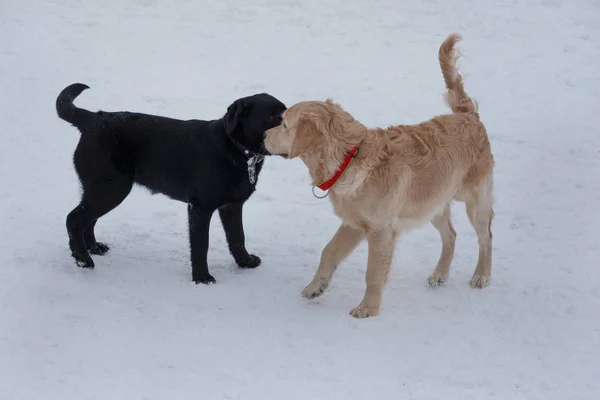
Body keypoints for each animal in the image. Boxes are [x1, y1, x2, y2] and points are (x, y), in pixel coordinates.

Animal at [56, 83, 286, 284]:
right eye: (272, 117)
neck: (237, 150)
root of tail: (93, 118)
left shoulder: (232, 206)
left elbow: (237, 237)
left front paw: (245, 262)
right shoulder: (199, 207)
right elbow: (201, 244)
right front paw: (202, 278)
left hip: (101, 187)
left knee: (87, 219)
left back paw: (93, 248)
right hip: (111, 187)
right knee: (74, 219)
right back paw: (83, 260)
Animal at [264, 34, 494, 318]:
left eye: (284, 124)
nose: (264, 135)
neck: (349, 157)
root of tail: (467, 115)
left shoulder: (380, 230)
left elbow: (373, 273)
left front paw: (367, 309)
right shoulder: (354, 222)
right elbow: (328, 251)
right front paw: (315, 287)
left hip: (474, 199)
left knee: (485, 237)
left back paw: (482, 275)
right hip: (431, 203)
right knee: (450, 235)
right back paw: (440, 274)